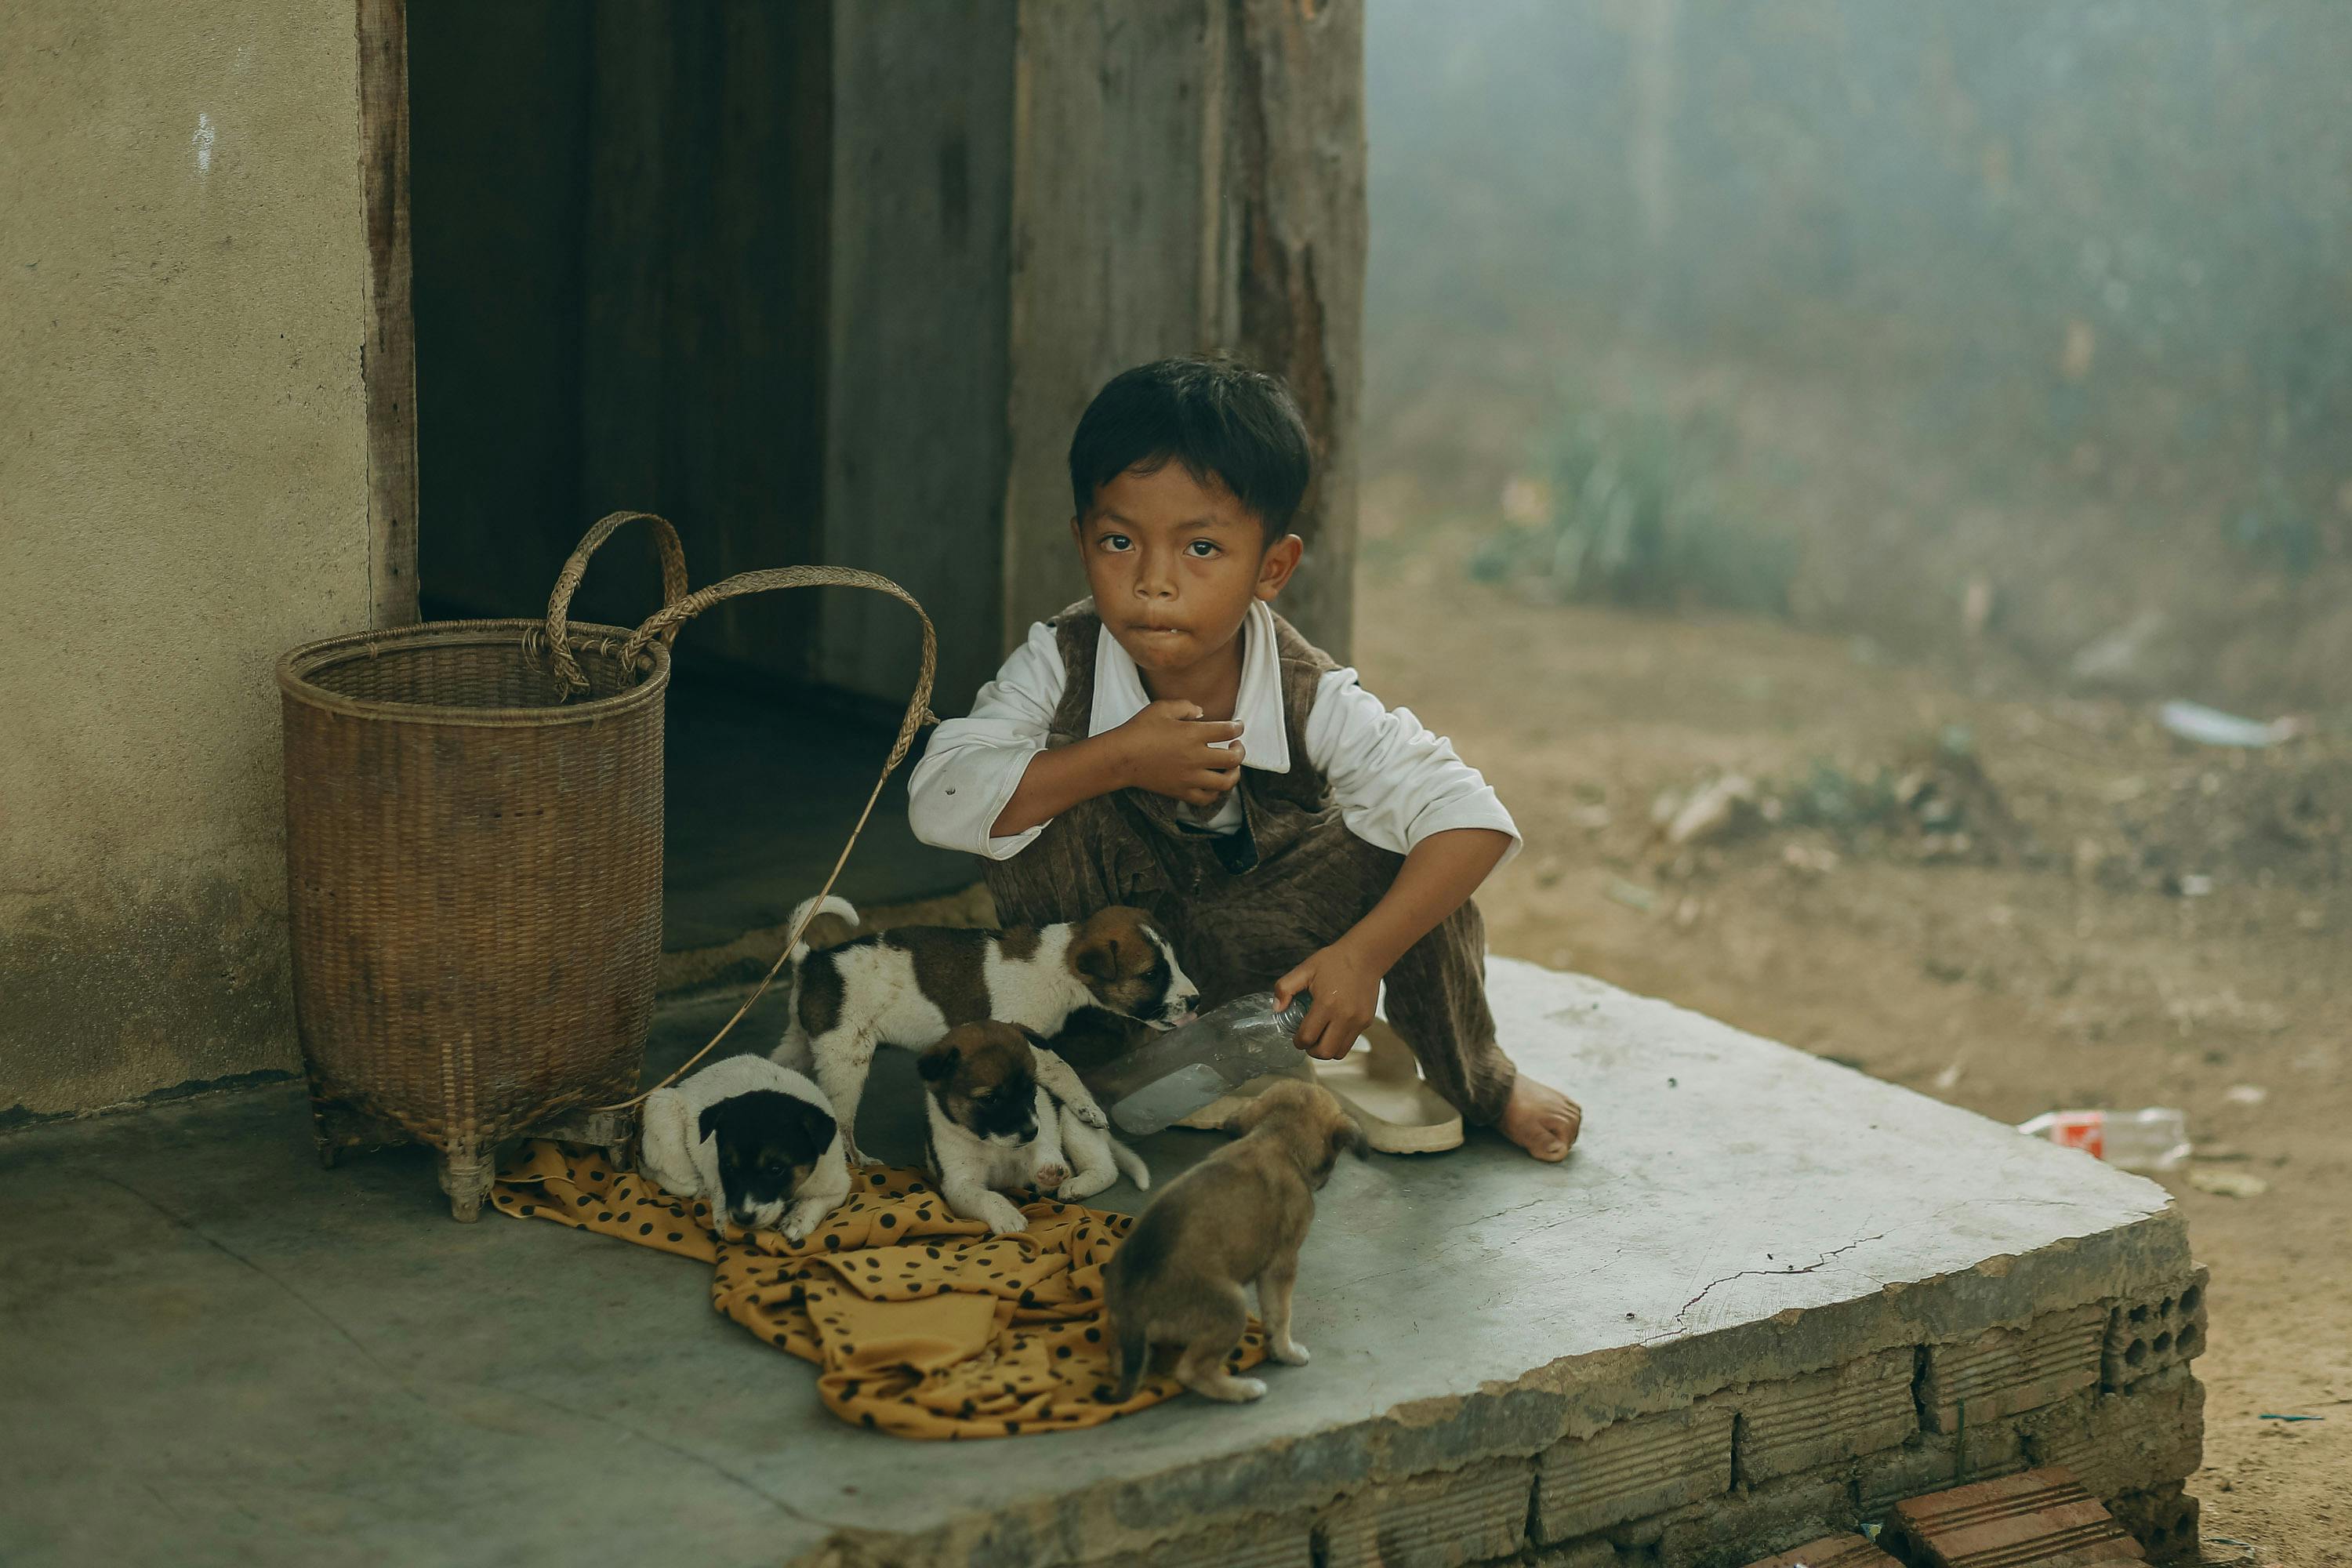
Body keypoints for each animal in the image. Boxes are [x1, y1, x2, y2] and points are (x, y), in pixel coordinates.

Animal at [644, 1048, 856, 1241]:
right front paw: (724, 1220)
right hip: (663, 1110)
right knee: (667, 1173)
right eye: (728, 1166)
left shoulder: (837, 1183)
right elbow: (720, 1190)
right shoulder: (713, 1164)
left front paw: (798, 1220)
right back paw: (698, 1187)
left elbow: (819, 1201)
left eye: (776, 1169)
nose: (742, 1218)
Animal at [771, 893, 1204, 1166]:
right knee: (841, 1121)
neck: (1058, 964)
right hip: (846, 1059)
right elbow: (1063, 1070)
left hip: (799, 1045)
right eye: (1151, 974)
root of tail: (811, 960)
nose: (1197, 1001)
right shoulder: (1023, 1034)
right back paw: (858, 1161)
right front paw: (1089, 1109)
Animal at [913, 1025, 1152, 1241]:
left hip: (1072, 1121)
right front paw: (1007, 1215)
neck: (992, 1145)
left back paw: (1073, 1184)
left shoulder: (1034, 1145)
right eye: (989, 1099)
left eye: (1031, 1089)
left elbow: (1044, 1150)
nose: (1031, 1132)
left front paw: (1050, 1172)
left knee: (1106, 1169)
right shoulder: (959, 1183)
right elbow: (987, 1197)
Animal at [1101, 1086, 1364, 1401]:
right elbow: (1280, 1316)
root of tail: (1133, 1310)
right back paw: (1244, 1389)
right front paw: (1287, 1352)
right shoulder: (1282, 1265)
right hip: (1232, 1307)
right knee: (1190, 1371)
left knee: (1119, 1363)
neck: (1277, 1139)